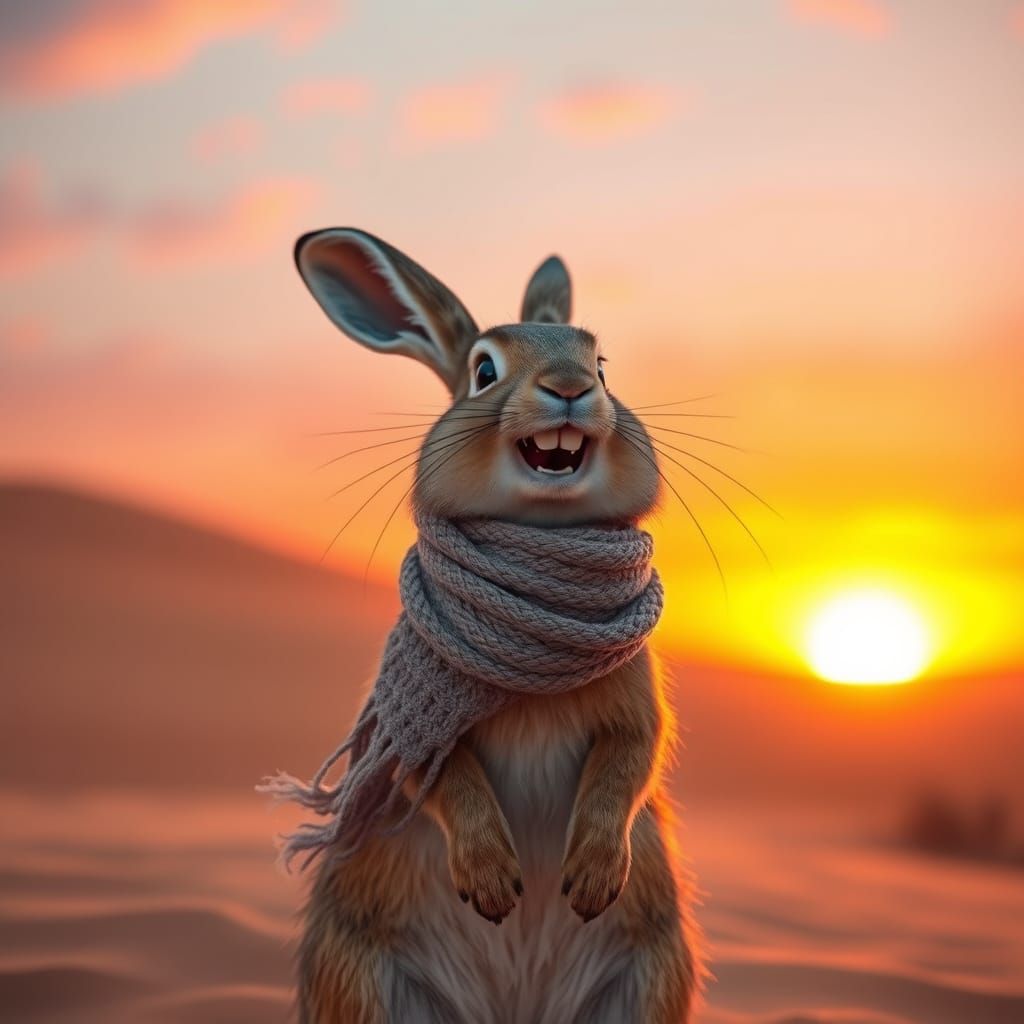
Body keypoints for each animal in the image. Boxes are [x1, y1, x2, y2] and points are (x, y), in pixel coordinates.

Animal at [290, 227, 699, 1023]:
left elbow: (632, 761)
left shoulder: (635, 707)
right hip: (362, 982)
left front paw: (591, 881)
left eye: (601, 364)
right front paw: (493, 884)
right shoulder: (410, 727)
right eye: (484, 371)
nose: (571, 389)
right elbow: (437, 775)